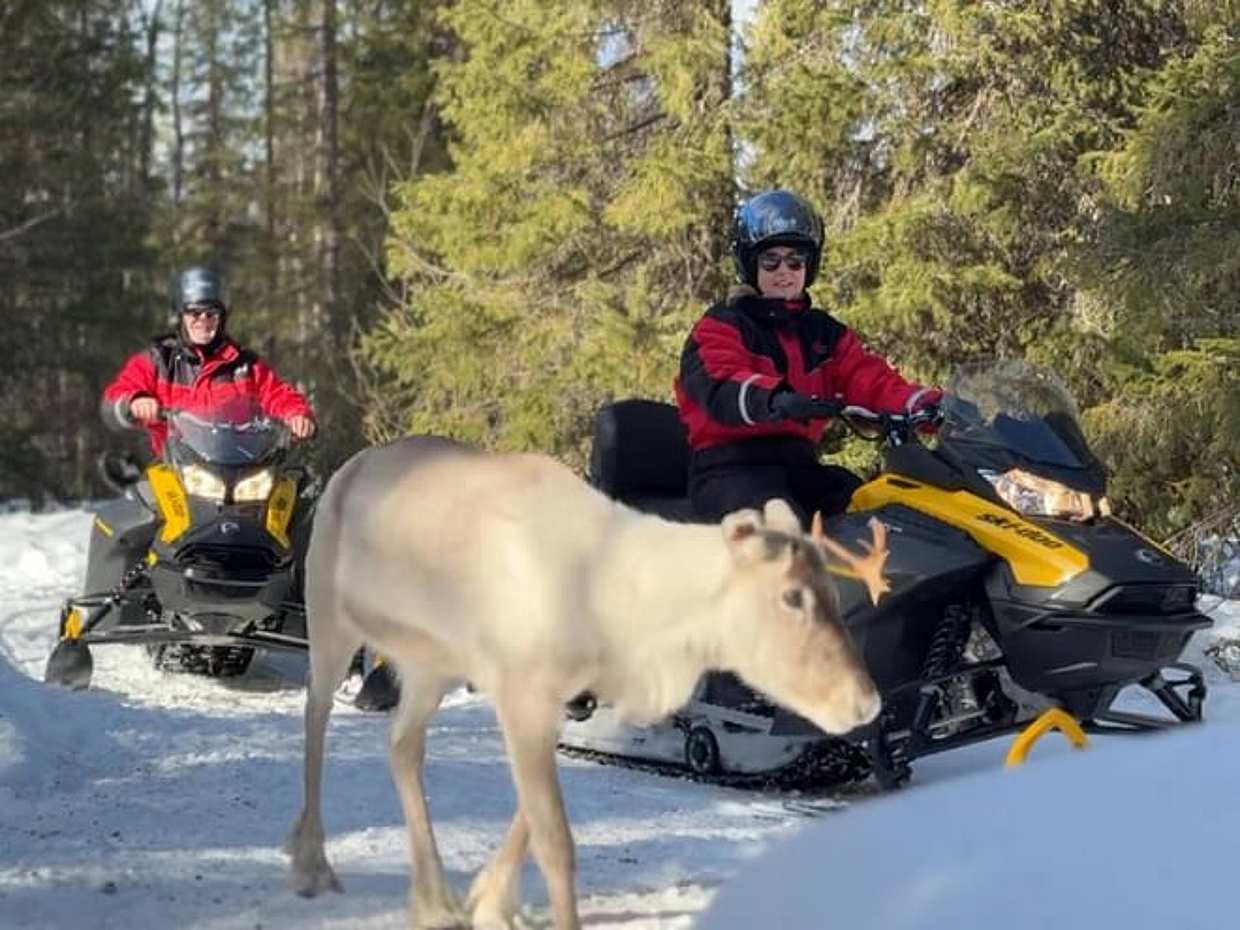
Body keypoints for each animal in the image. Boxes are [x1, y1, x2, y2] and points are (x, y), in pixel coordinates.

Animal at [286, 435, 886, 930]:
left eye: (831, 591)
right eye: (791, 596)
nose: (865, 702)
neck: (619, 610)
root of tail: (348, 469)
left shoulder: (569, 696)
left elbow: (530, 815)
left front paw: (487, 901)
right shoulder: (523, 688)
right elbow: (556, 839)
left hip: (431, 663)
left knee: (402, 747)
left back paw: (434, 901)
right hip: (329, 617)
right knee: (316, 715)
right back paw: (311, 862)